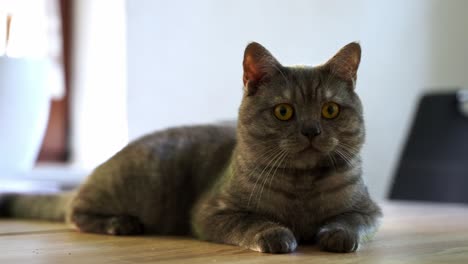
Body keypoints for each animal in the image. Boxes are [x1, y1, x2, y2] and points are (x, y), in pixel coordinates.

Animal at [0, 41, 380, 254]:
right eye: (284, 111)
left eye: (330, 110)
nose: (312, 130)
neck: (302, 186)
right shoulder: (212, 212)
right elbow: (252, 223)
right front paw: (276, 234)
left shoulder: (369, 211)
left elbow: (351, 221)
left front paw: (337, 236)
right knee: (74, 211)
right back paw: (120, 223)